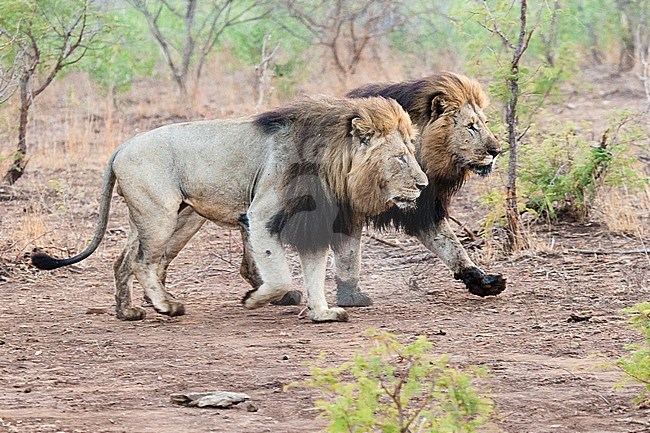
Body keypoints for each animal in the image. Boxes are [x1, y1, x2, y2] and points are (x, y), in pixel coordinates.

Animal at [31, 96, 426, 322]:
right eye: (399, 157)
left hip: (162, 218)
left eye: (412, 150)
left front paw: (322, 312)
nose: (423, 185)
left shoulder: (311, 223)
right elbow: (279, 276)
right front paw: (254, 300)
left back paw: (128, 311)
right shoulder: (261, 215)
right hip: (160, 216)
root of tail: (121, 147)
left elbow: (314, 272)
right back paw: (166, 307)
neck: (331, 163)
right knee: (144, 262)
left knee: (124, 261)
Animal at [240, 71, 504, 308]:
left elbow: (451, 246)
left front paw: (481, 280)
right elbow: (350, 256)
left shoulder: (423, 211)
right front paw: (351, 296)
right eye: (470, 127)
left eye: (485, 123)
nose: (496, 150)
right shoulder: (348, 209)